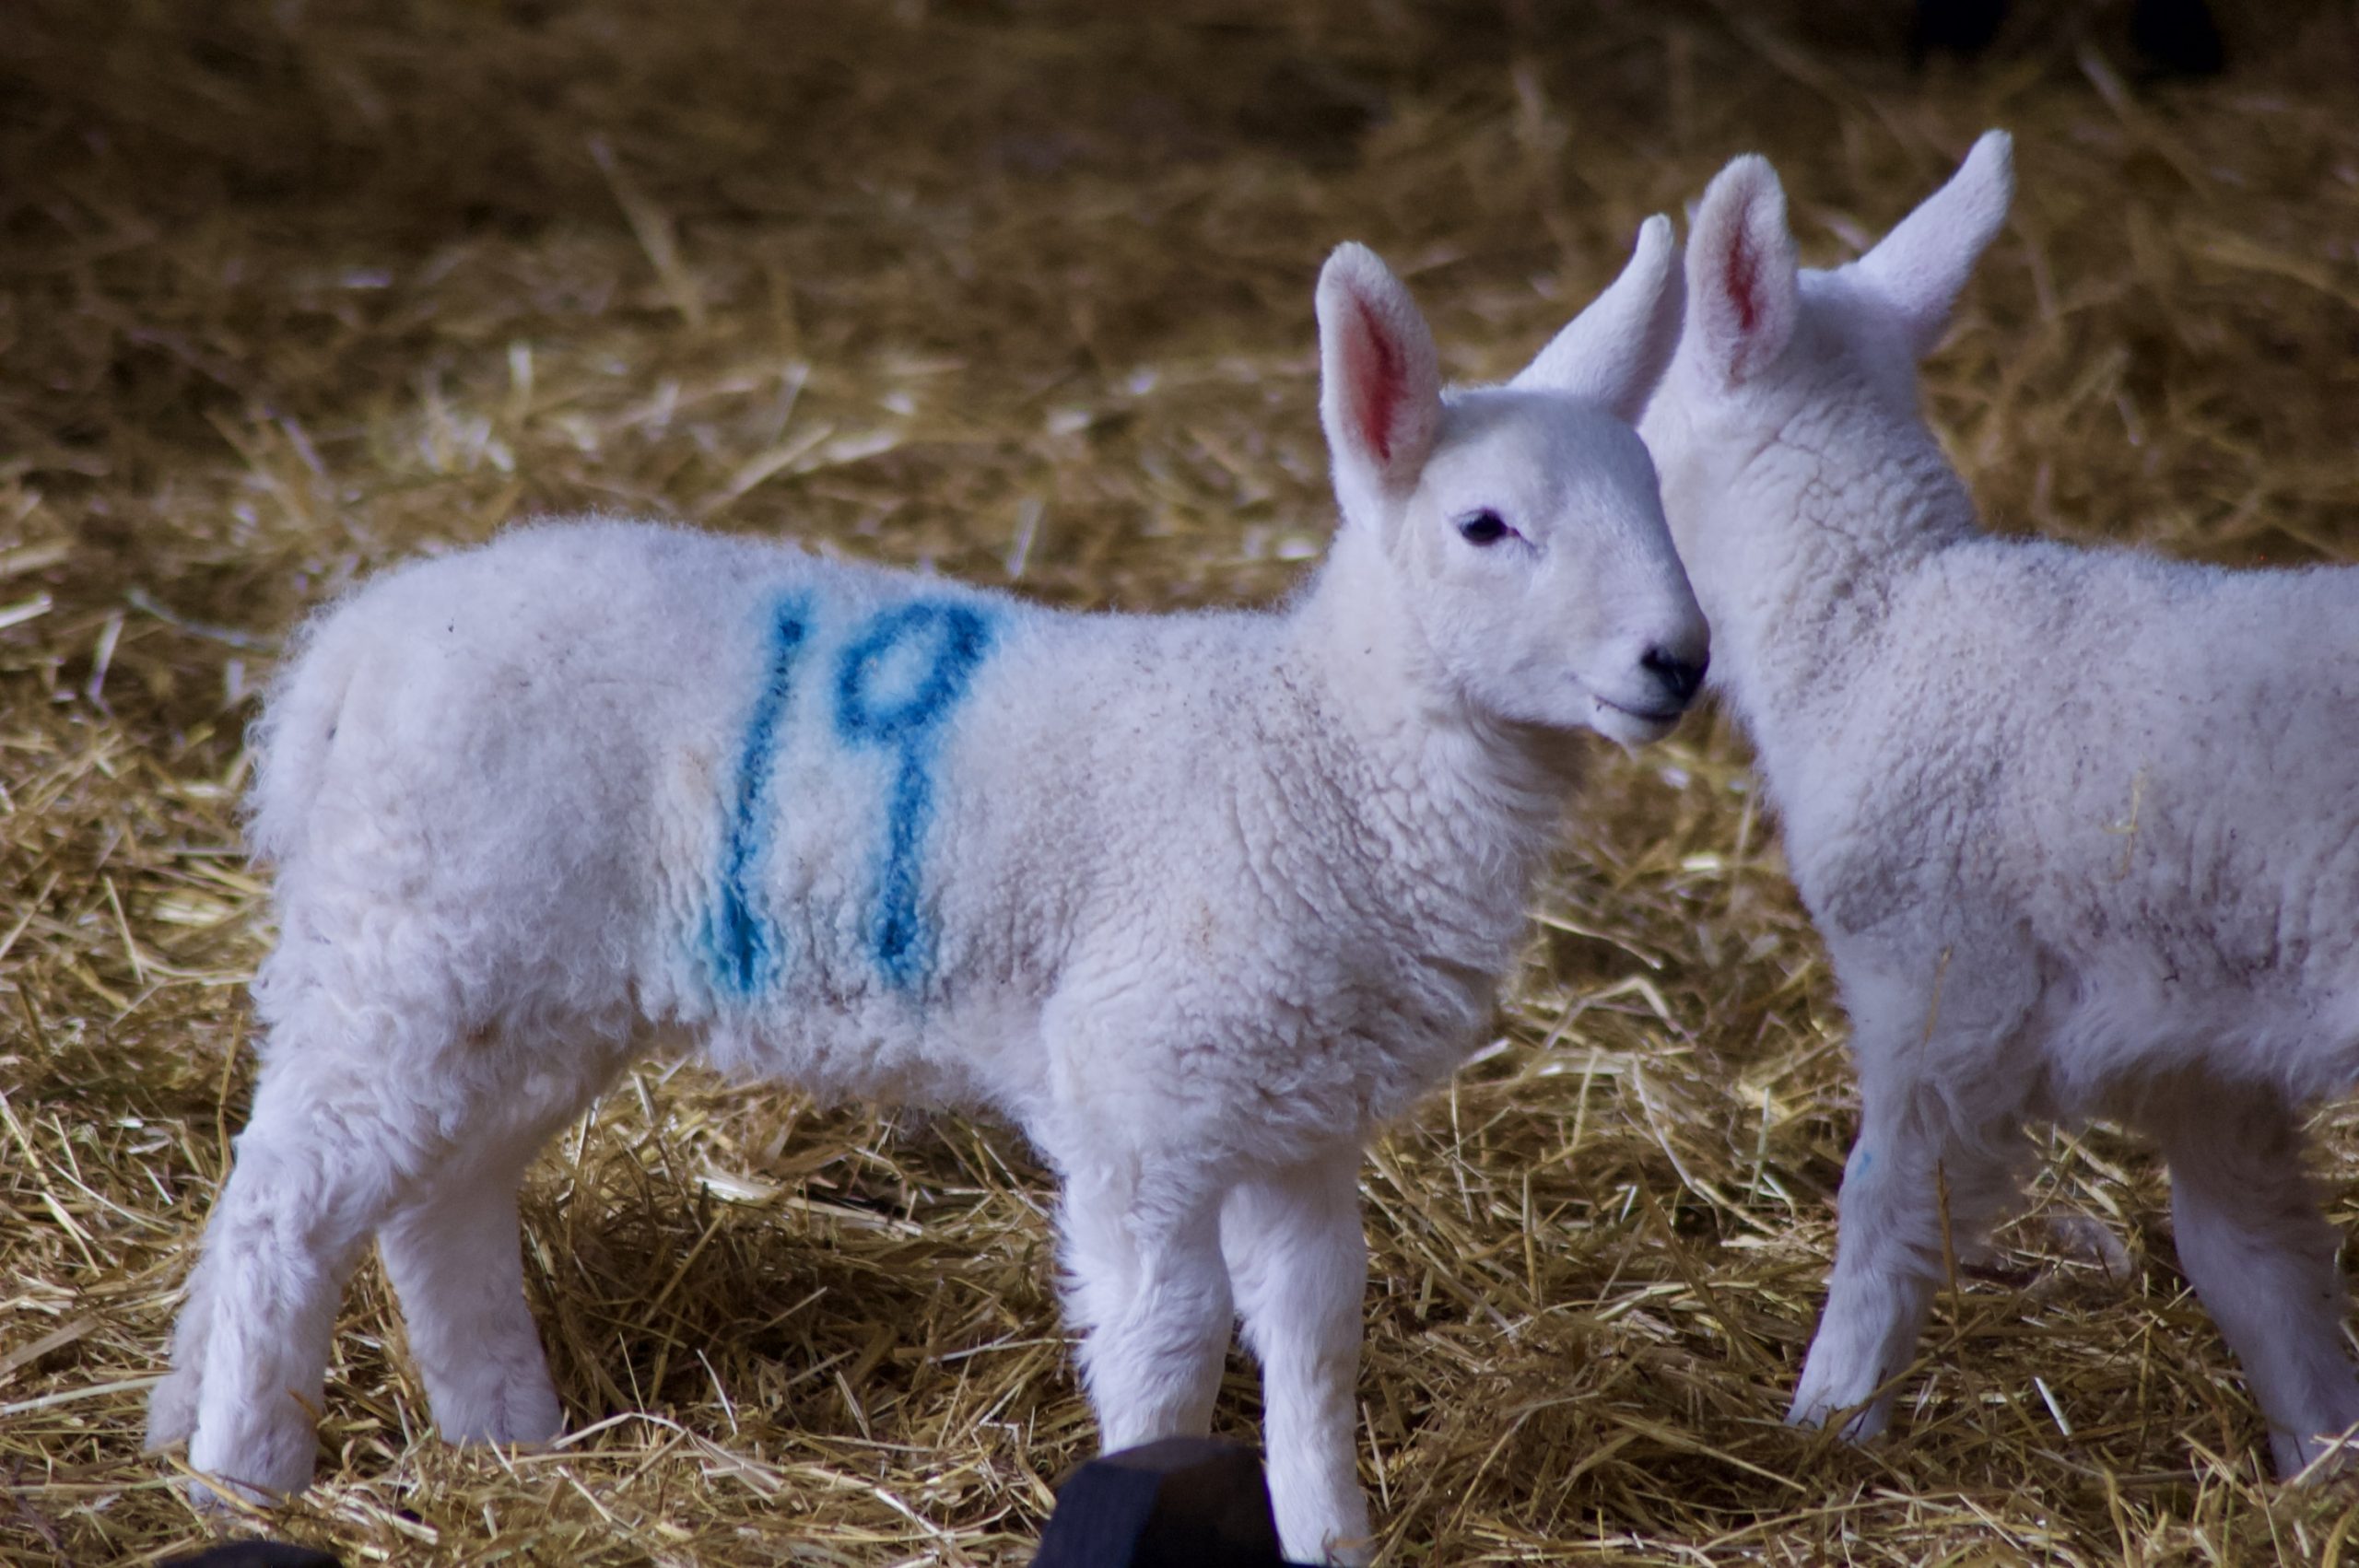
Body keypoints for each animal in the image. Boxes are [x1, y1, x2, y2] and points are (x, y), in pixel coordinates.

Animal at [147, 228, 1709, 1562]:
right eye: (1486, 526)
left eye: (1659, 500)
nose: (1678, 660)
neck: (1318, 749)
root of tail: (355, 640)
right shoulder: (1144, 1098)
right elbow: (1171, 1337)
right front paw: (1150, 1491)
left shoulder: (1300, 1118)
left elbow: (1318, 1335)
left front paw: (1330, 1537)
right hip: (415, 948)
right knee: (287, 1204)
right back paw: (242, 1479)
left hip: (514, 984)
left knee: (440, 1205)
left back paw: (516, 1449)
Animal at [1636, 130, 2359, 1476]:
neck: (1870, 630)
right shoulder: (2201, 1042)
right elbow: (2253, 1262)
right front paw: (2317, 1466)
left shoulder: (1943, 992)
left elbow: (1884, 1217)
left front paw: (1820, 1428)